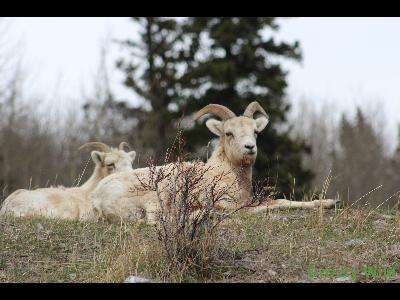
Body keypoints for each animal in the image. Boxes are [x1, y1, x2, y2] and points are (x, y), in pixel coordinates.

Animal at [89, 102, 340, 224]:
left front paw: (330, 202)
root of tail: (97, 198)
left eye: (255, 132)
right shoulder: (228, 203)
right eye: (228, 133)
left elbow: (282, 201)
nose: (250, 148)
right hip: (155, 198)